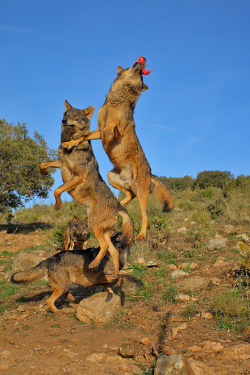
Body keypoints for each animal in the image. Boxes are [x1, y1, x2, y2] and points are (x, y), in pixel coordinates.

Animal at [40, 101, 134, 280]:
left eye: (75, 116)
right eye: (65, 114)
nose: (63, 121)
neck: (70, 141)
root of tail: (117, 205)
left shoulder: (78, 176)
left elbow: (57, 190)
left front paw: (58, 205)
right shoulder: (61, 164)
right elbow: (43, 163)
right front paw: (43, 172)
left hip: (94, 226)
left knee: (104, 246)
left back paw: (94, 263)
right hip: (102, 231)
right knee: (113, 251)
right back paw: (114, 275)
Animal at [61, 58, 174, 241]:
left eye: (142, 75)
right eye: (135, 69)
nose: (141, 61)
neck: (117, 100)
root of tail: (151, 173)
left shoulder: (119, 128)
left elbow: (114, 123)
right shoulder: (98, 130)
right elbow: (83, 137)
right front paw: (69, 144)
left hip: (142, 192)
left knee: (144, 215)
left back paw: (141, 235)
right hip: (112, 177)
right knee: (129, 195)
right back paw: (118, 205)